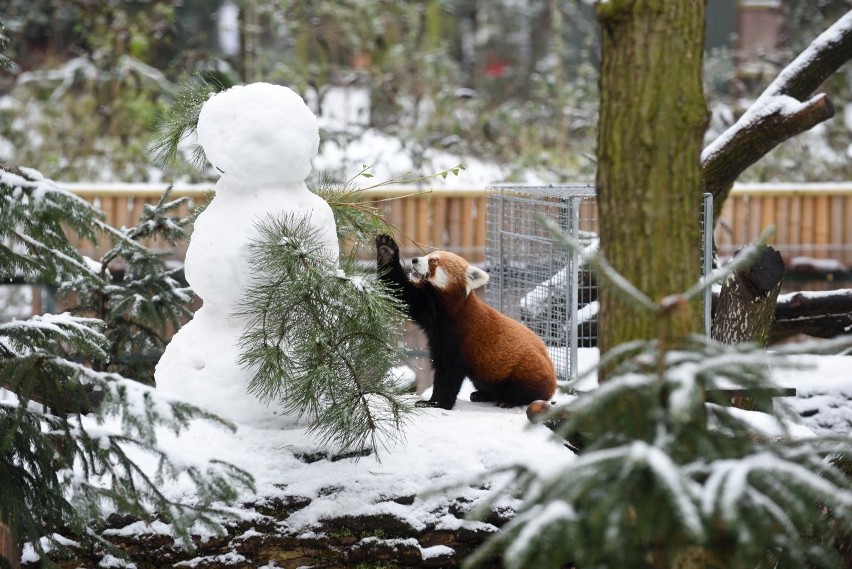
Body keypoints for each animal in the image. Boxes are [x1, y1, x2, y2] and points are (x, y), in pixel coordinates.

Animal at [376, 233, 556, 410]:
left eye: (432, 261)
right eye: (427, 256)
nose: (414, 260)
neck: (447, 311)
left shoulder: (457, 337)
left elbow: (448, 374)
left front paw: (435, 403)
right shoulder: (428, 311)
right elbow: (402, 292)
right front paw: (386, 250)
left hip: (526, 372)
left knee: (525, 391)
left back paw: (508, 400)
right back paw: (481, 395)